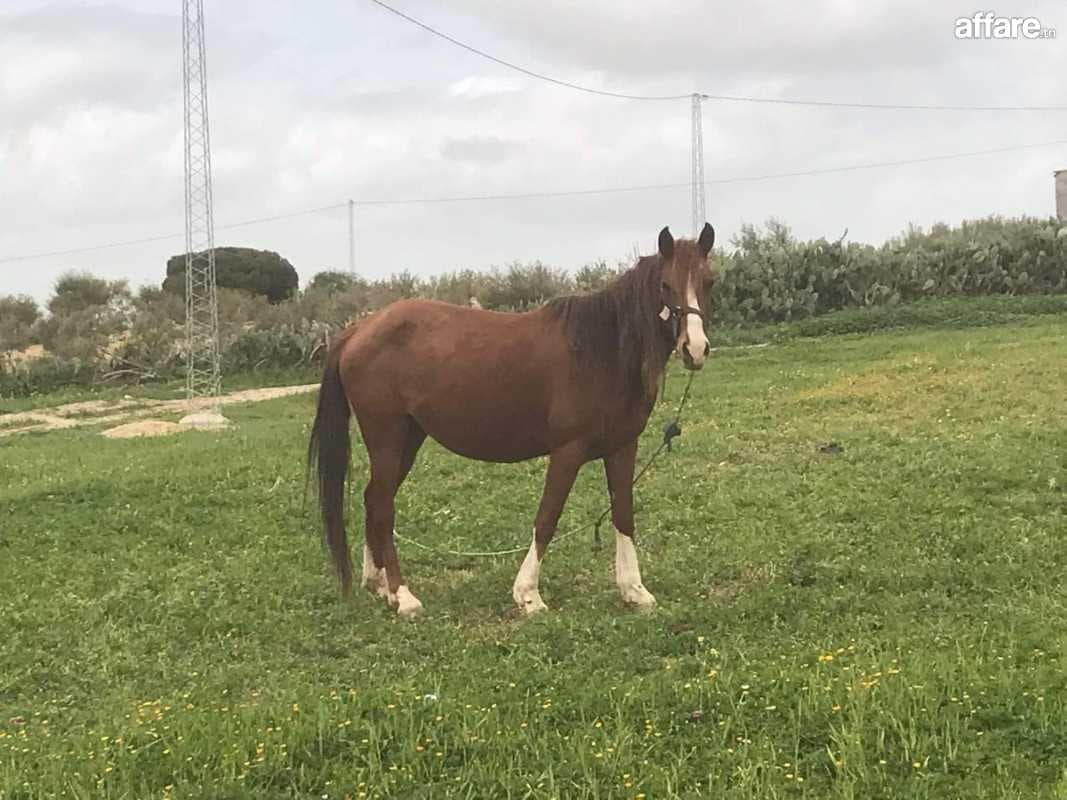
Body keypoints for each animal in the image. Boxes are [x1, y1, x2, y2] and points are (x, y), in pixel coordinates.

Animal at [308, 223, 715, 617]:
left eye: (709, 281)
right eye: (665, 285)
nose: (694, 349)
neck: (602, 350)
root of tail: (358, 330)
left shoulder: (622, 447)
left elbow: (624, 514)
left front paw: (634, 591)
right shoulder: (568, 451)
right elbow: (547, 517)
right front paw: (528, 595)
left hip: (409, 437)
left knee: (373, 500)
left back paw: (379, 585)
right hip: (387, 437)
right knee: (382, 505)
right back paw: (403, 596)